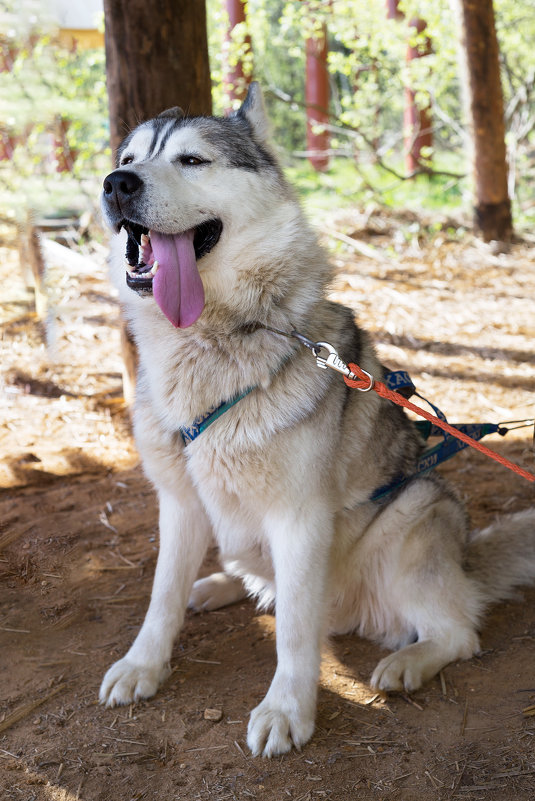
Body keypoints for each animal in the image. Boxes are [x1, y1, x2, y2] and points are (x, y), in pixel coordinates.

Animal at [99, 84, 535, 752]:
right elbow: (160, 599)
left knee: (458, 632)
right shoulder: (179, 503)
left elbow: (295, 632)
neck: (216, 341)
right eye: (128, 157)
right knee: (253, 579)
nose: (116, 184)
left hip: (415, 514)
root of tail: (467, 563)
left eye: (191, 160)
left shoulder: (299, 521)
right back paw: (219, 585)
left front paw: (288, 710)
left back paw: (409, 660)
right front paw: (143, 666)